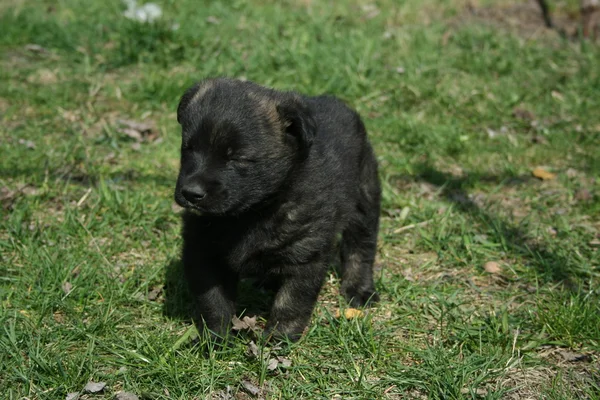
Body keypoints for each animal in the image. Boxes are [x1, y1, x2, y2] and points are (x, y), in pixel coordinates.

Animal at [173, 77, 380, 340]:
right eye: (188, 148)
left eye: (237, 158)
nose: (191, 193)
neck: (249, 214)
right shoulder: (202, 250)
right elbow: (213, 301)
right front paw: (215, 338)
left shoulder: (305, 254)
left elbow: (290, 303)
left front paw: (278, 339)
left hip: (364, 196)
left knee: (361, 246)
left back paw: (359, 288)